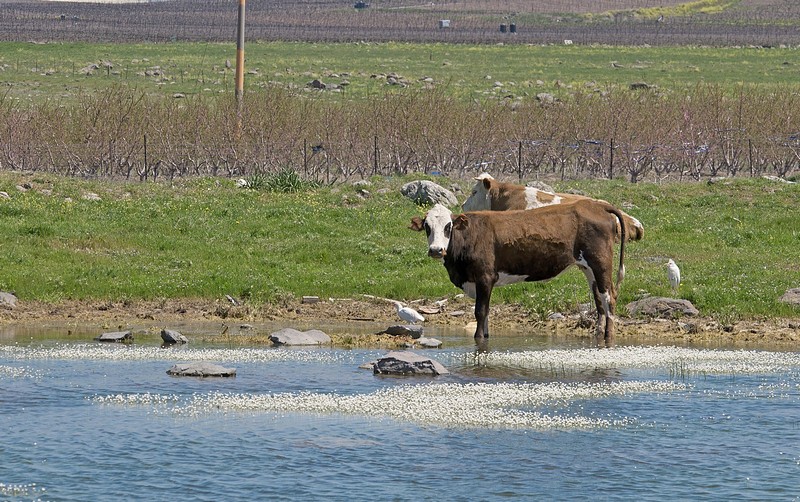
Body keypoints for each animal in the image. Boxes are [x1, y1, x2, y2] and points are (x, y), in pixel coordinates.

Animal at [410, 200, 626, 348]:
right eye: (427, 227)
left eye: (448, 226)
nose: (436, 250)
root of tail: (595, 205)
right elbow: (486, 312)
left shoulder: (485, 277)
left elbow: (480, 311)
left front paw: (478, 339)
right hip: (589, 269)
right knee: (599, 299)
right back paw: (598, 333)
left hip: (601, 264)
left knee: (609, 297)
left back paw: (608, 336)